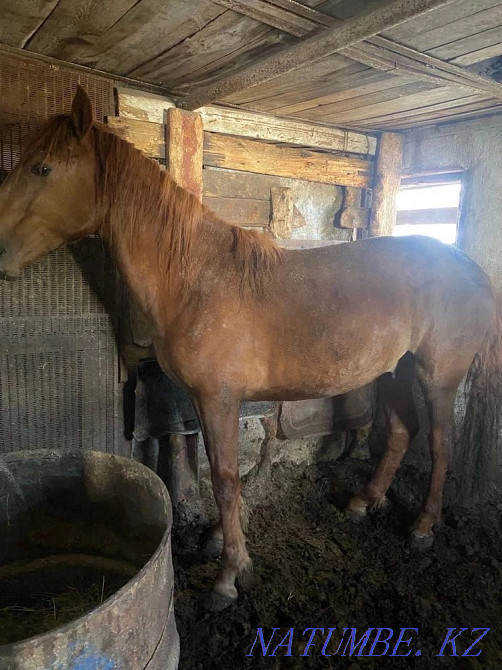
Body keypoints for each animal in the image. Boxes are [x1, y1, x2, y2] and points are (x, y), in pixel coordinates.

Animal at [0, 86, 500, 609]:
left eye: (41, 167)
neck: (196, 278)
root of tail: (471, 268)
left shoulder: (219, 398)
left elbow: (224, 479)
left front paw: (229, 575)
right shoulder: (206, 401)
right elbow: (221, 474)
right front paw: (223, 544)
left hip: (437, 377)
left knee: (441, 444)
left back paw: (423, 527)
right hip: (397, 371)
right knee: (403, 432)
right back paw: (363, 502)